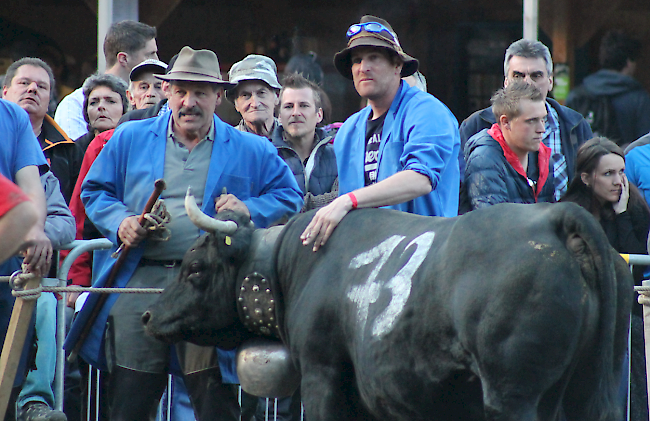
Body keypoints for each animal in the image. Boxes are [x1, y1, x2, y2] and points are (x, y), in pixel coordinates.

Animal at [140, 197, 628, 420]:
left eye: (195, 268)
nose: (148, 315)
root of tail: (554, 215)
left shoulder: (322, 372)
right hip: (587, 391)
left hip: (513, 393)